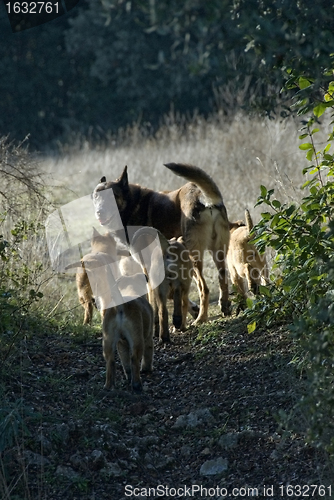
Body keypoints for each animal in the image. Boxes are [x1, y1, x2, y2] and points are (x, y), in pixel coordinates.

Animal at [92, 162, 231, 322]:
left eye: (112, 196)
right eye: (96, 196)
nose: (99, 212)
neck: (131, 206)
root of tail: (202, 196)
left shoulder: (148, 267)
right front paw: (190, 309)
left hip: (193, 256)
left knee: (204, 289)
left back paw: (201, 318)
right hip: (217, 252)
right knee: (223, 277)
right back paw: (224, 307)